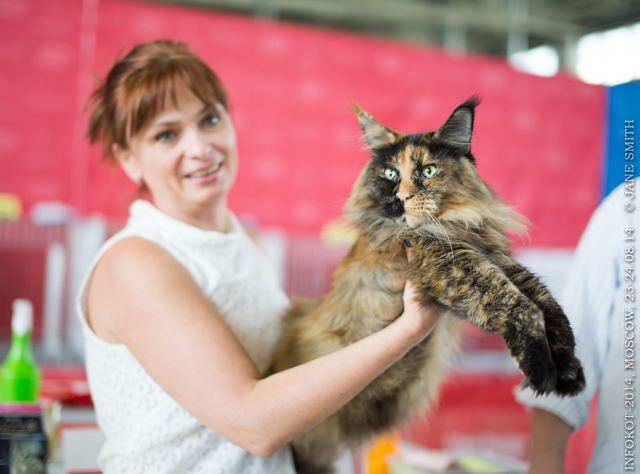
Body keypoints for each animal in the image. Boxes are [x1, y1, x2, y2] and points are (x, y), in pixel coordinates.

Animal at [268, 96, 584, 474]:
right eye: (390, 174)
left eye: (428, 171)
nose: (403, 197)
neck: (457, 226)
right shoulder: (451, 264)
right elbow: (520, 307)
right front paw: (540, 369)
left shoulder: (501, 263)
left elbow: (552, 311)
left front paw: (569, 373)